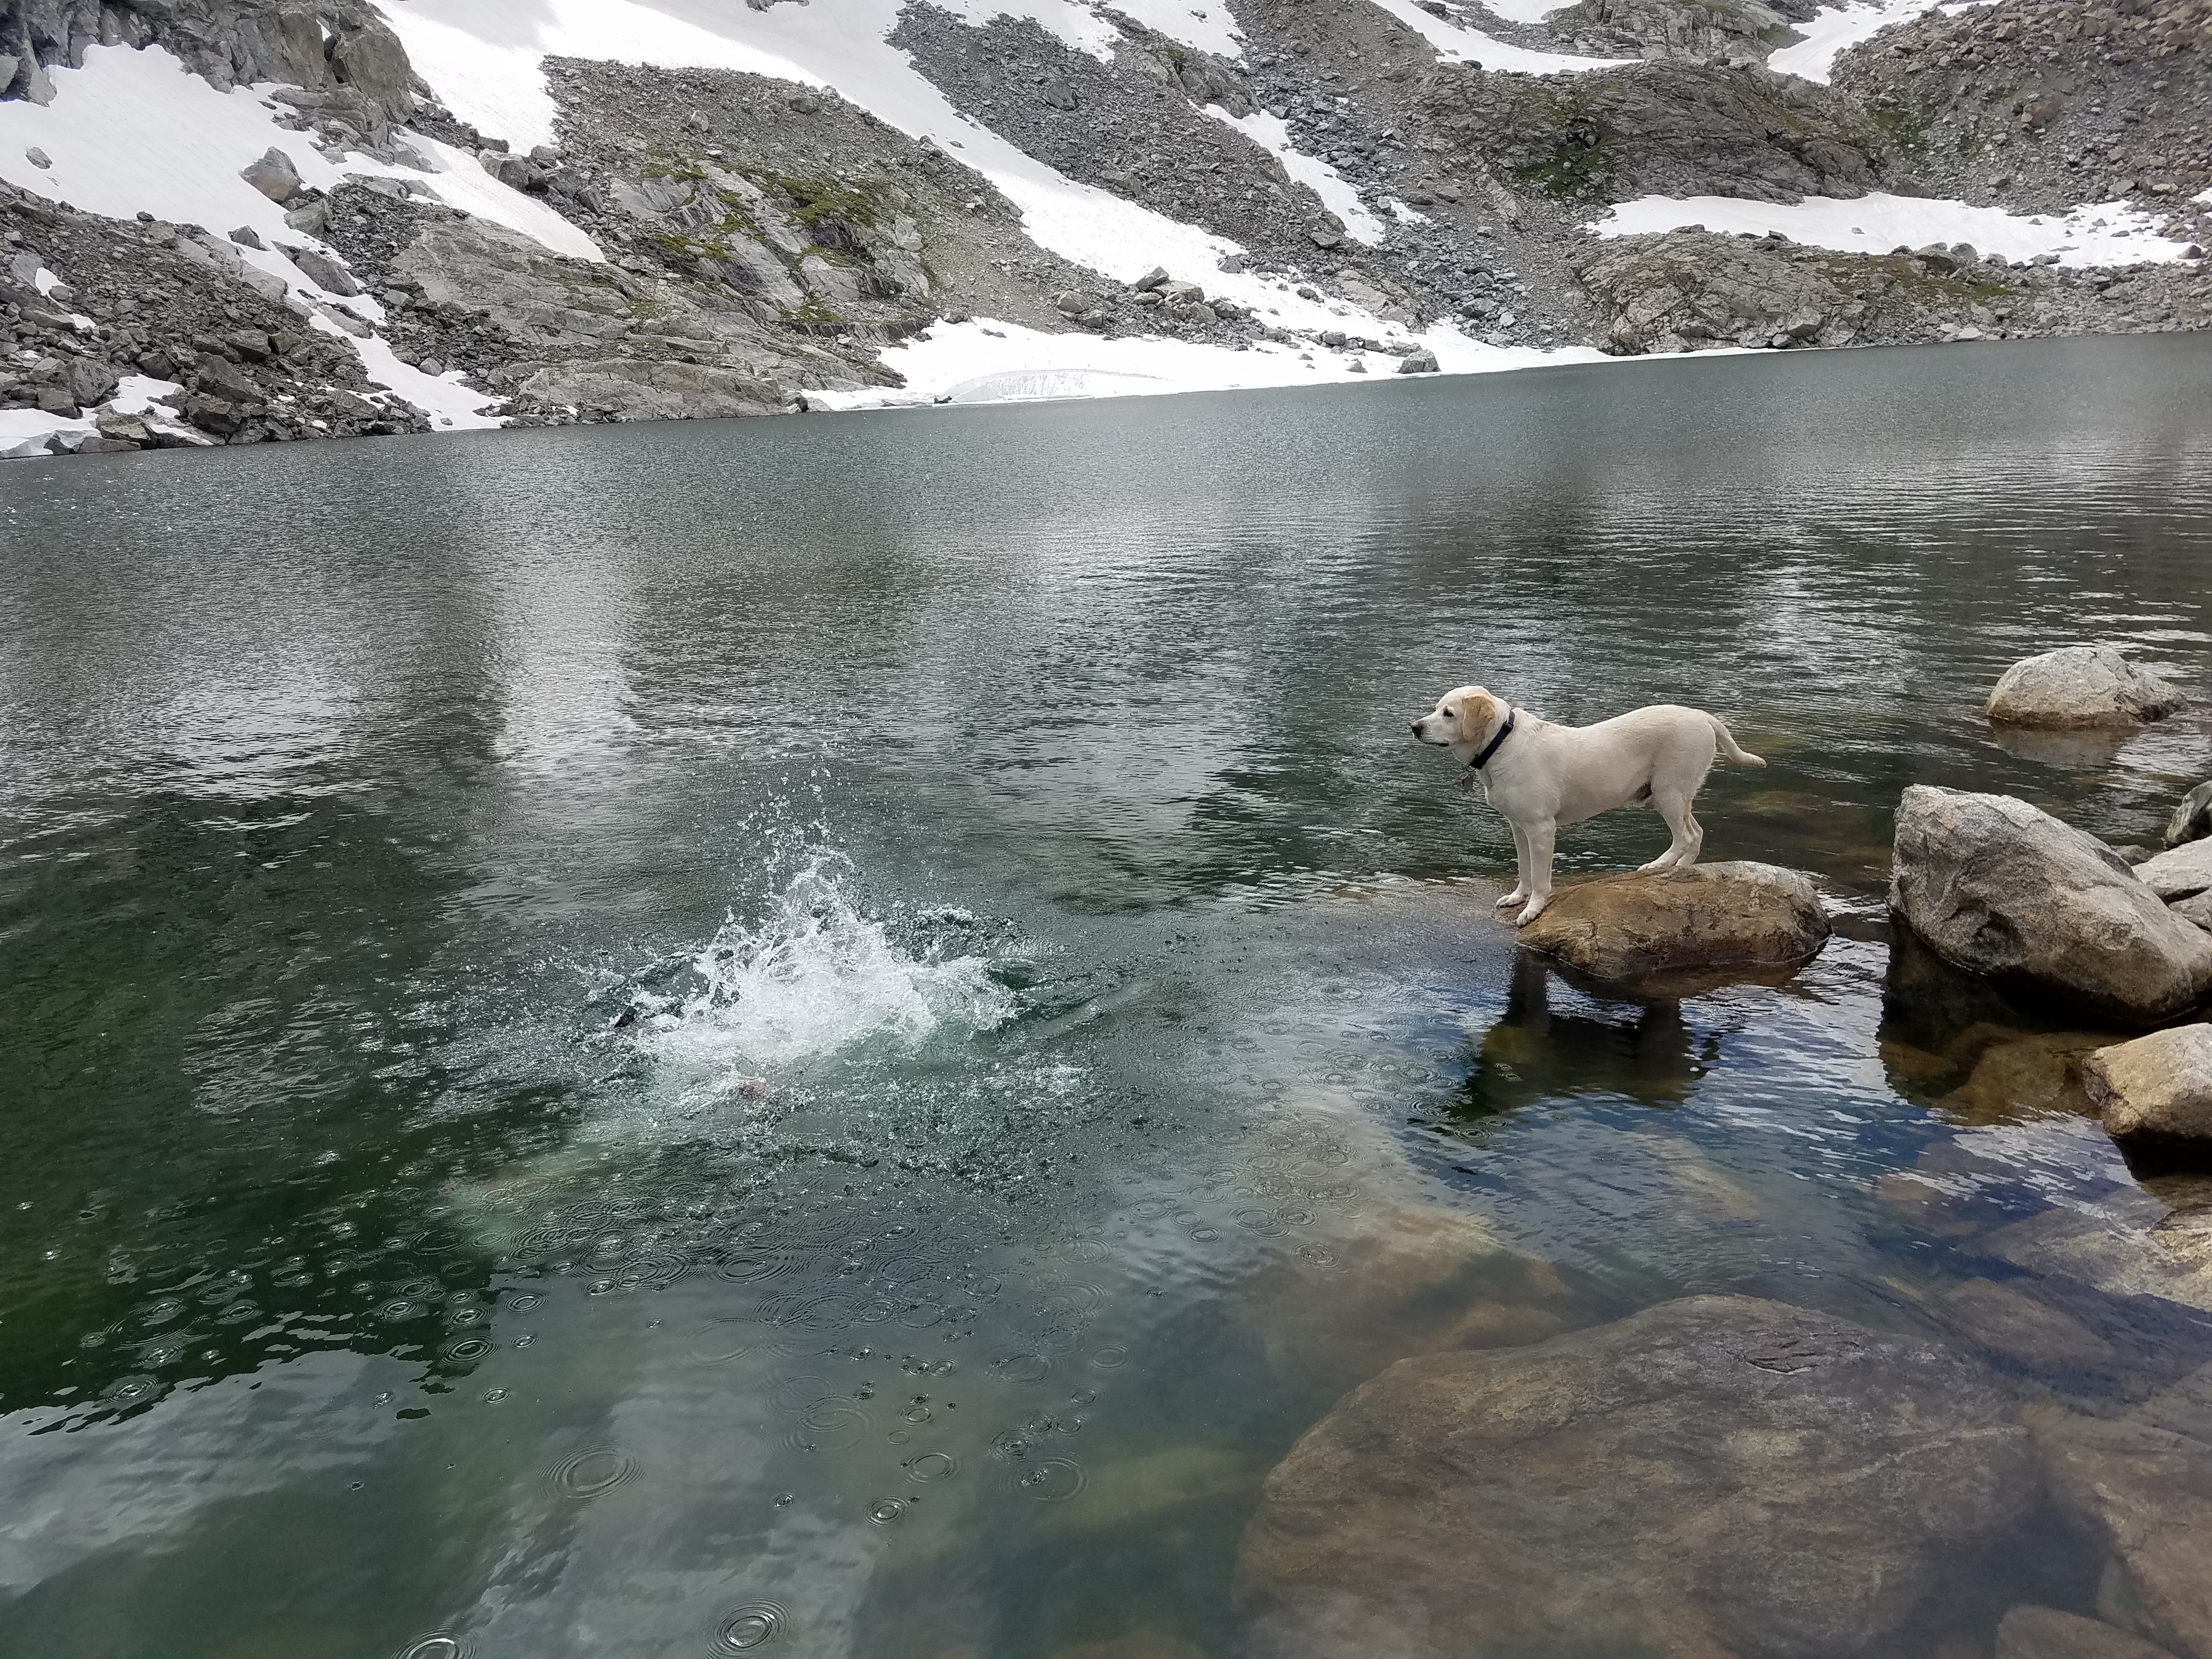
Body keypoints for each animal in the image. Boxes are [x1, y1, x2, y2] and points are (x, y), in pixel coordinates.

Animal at [1415, 681, 1760, 929]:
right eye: (1436, 709)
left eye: (1448, 714)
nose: (1415, 727)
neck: (1502, 744)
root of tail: (1702, 716)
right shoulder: (1518, 826)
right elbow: (1524, 870)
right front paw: (1517, 898)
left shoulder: (1541, 829)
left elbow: (1540, 878)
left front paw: (1532, 910)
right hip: (1678, 796)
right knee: (1697, 833)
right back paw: (1675, 868)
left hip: (1669, 794)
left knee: (1685, 837)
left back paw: (1663, 868)